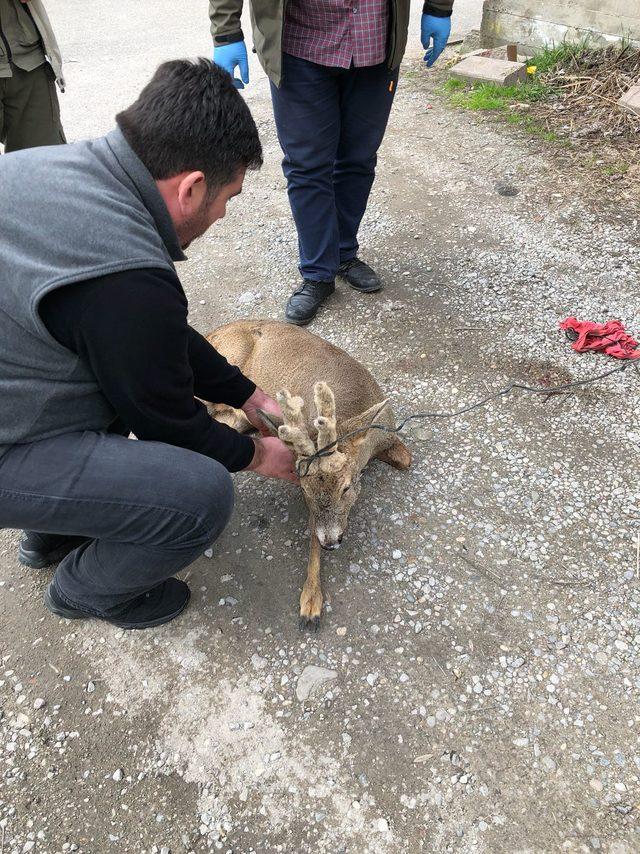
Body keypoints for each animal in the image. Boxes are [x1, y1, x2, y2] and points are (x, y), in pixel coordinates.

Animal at [208, 320, 412, 628]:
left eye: (347, 487)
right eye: (303, 490)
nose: (331, 543)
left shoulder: (387, 433)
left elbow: (406, 459)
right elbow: (313, 529)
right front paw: (311, 602)